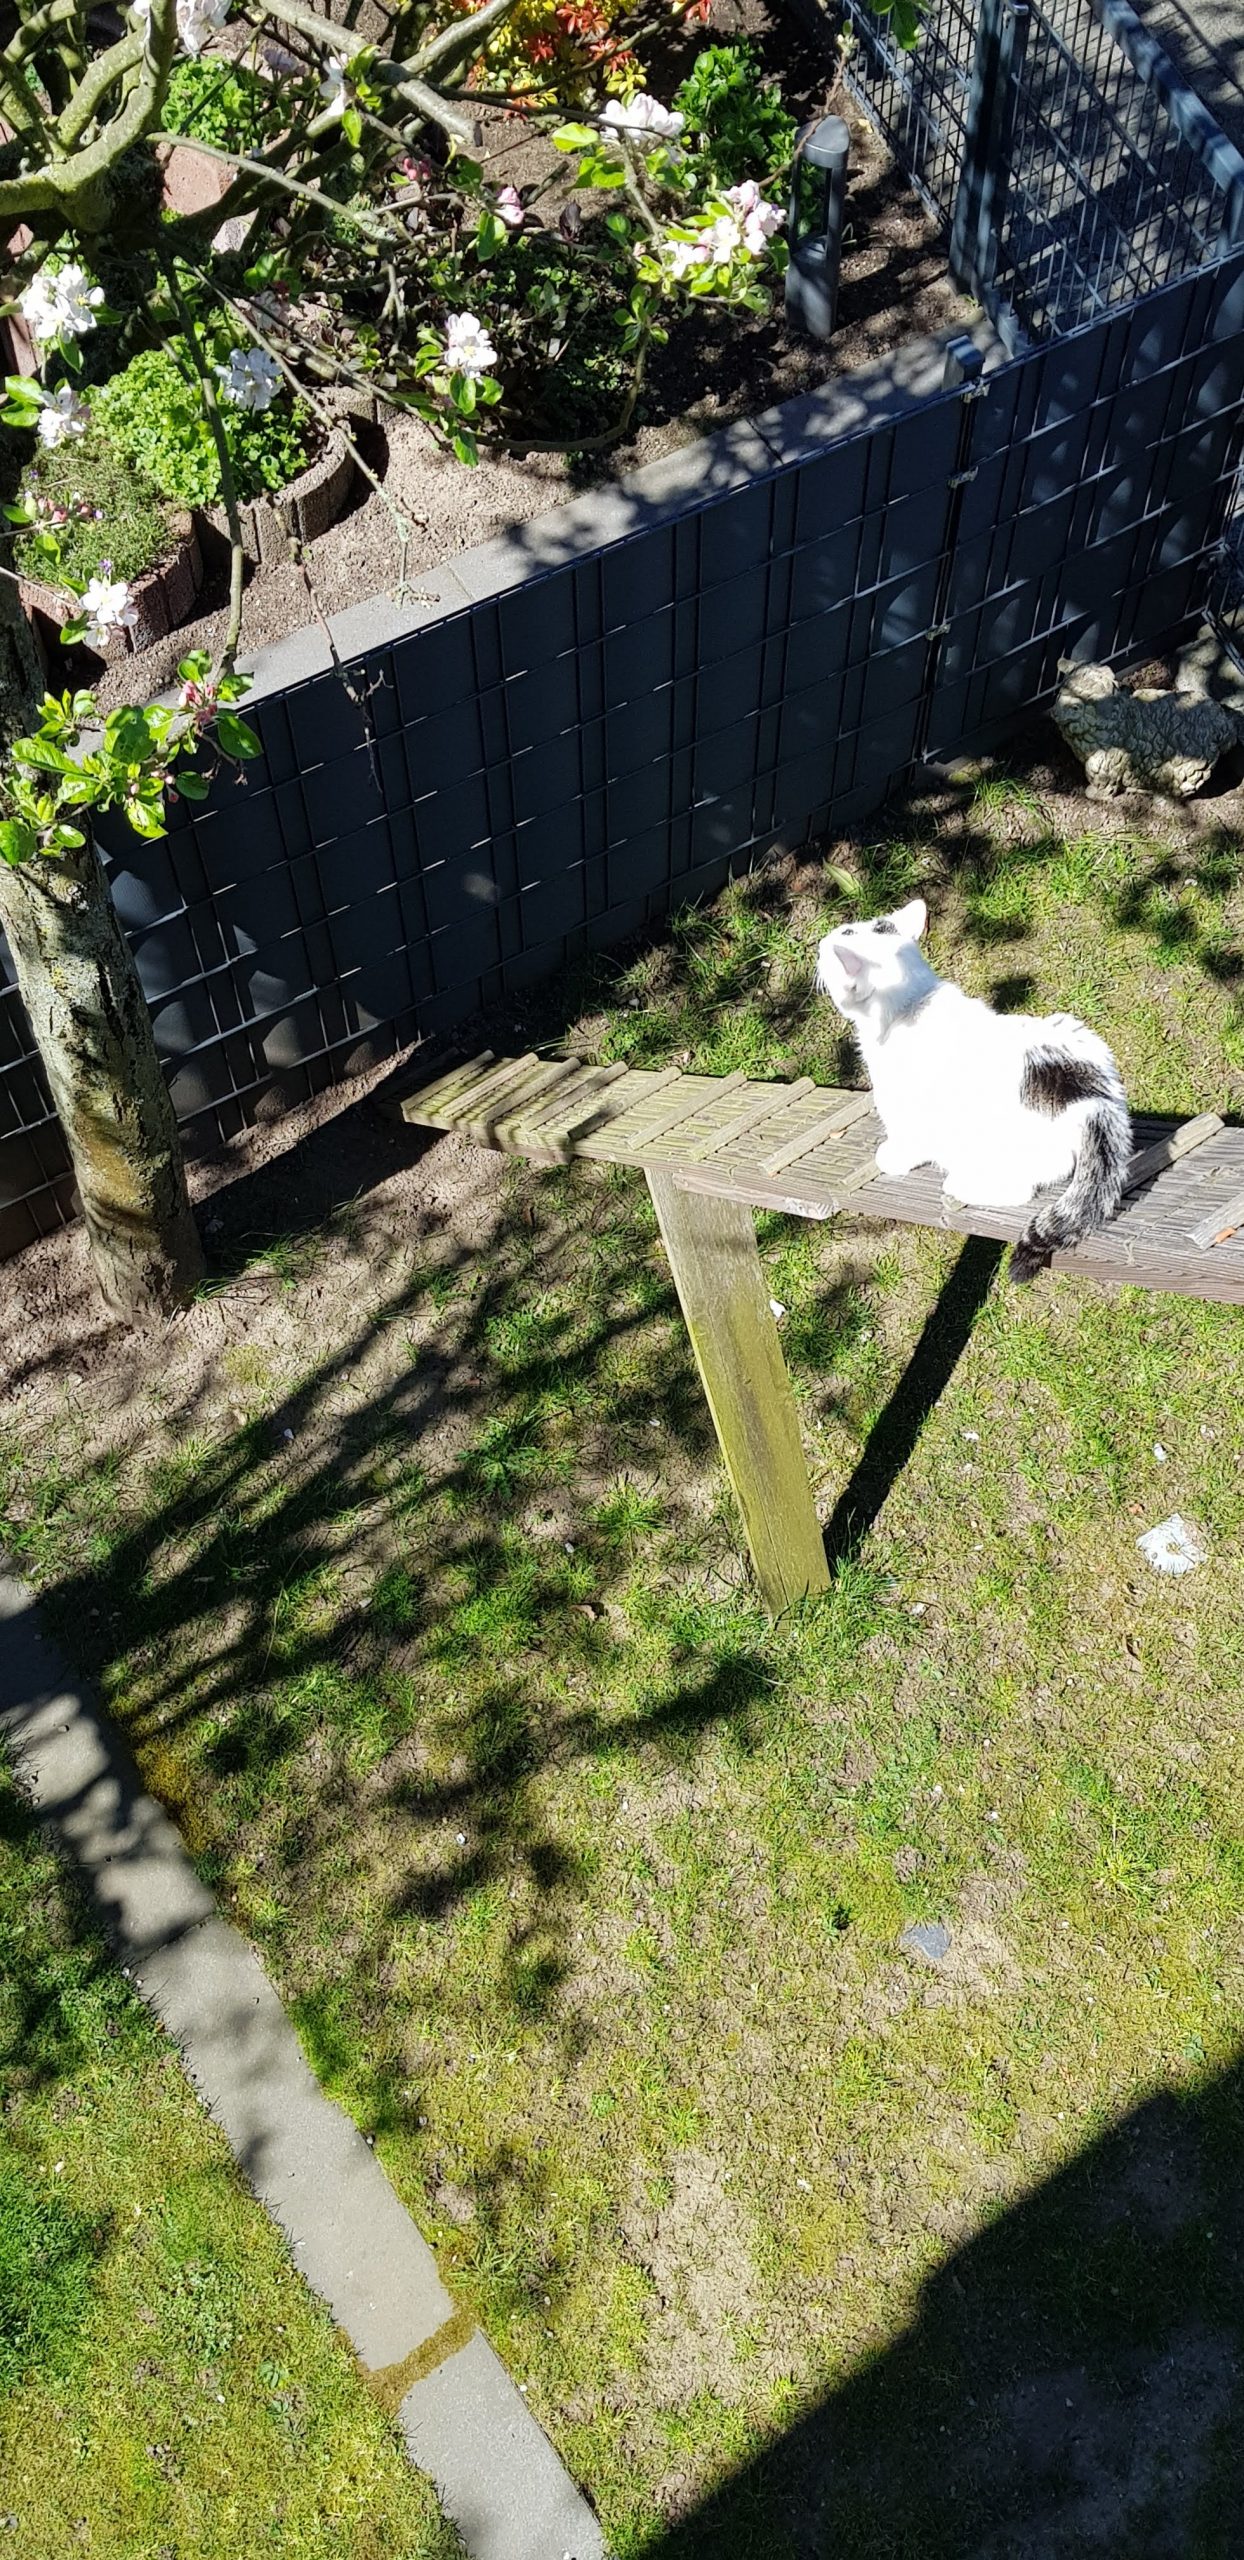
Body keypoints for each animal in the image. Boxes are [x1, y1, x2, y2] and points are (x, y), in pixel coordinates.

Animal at [815, 898, 1132, 1282]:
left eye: (845, 934)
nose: (820, 942)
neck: (909, 1004)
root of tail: (1093, 1100)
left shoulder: (904, 1106)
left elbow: (906, 1140)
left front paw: (892, 1157)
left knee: (1018, 1190)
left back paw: (959, 1183)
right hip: (1072, 1027)